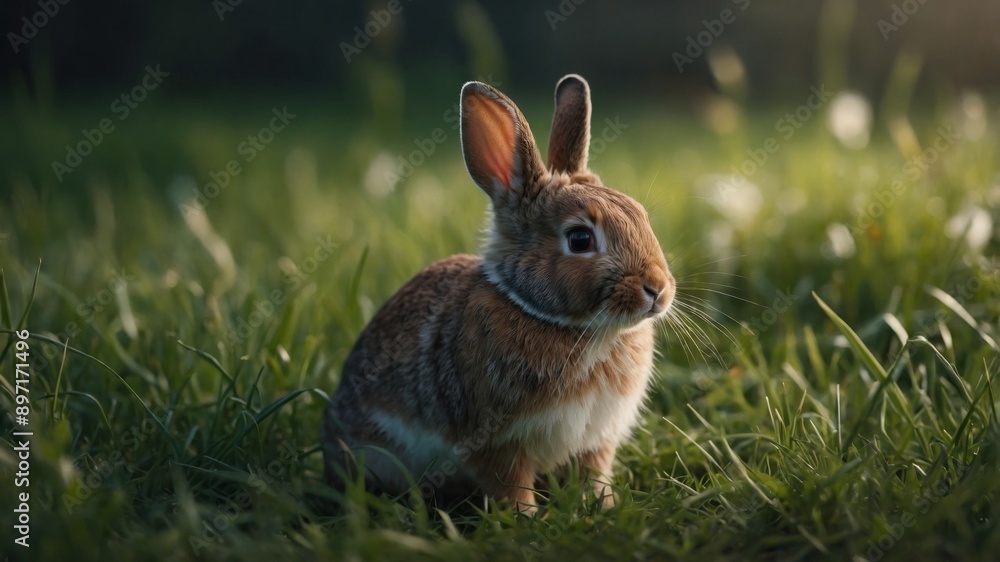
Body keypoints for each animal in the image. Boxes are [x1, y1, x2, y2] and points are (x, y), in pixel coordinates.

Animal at [321, 74, 674, 514]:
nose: (658, 290)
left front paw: (603, 506)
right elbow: (511, 485)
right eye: (579, 239)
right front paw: (528, 518)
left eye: (641, 216)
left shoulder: (596, 440)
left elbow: (592, 475)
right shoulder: (495, 441)